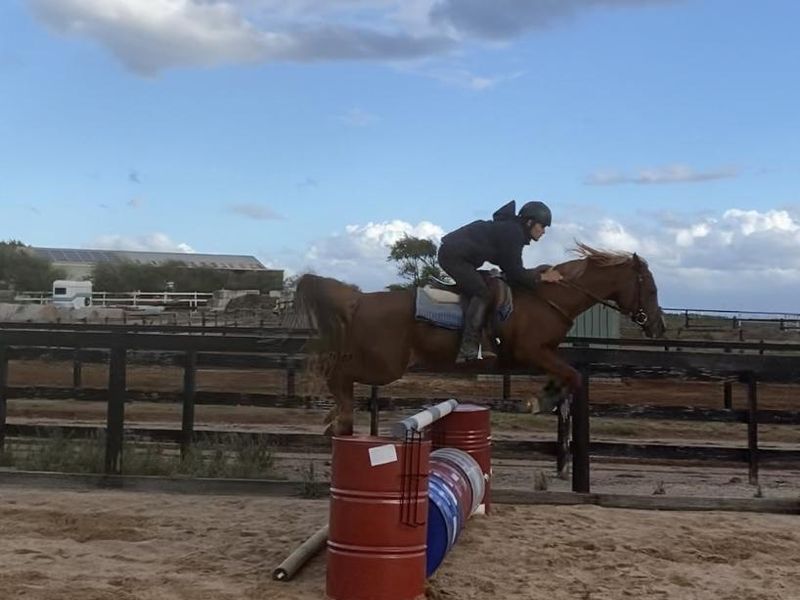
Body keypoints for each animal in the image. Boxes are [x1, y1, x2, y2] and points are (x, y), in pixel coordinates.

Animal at [291, 243, 666, 435]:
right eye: (650, 289)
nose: (658, 328)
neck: (547, 297)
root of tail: (359, 300)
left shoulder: (543, 354)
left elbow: (566, 374)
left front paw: (543, 397)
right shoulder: (531, 351)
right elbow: (572, 375)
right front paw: (541, 400)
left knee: (336, 373)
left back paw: (335, 418)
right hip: (384, 365)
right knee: (337, 375)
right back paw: (337, 416)